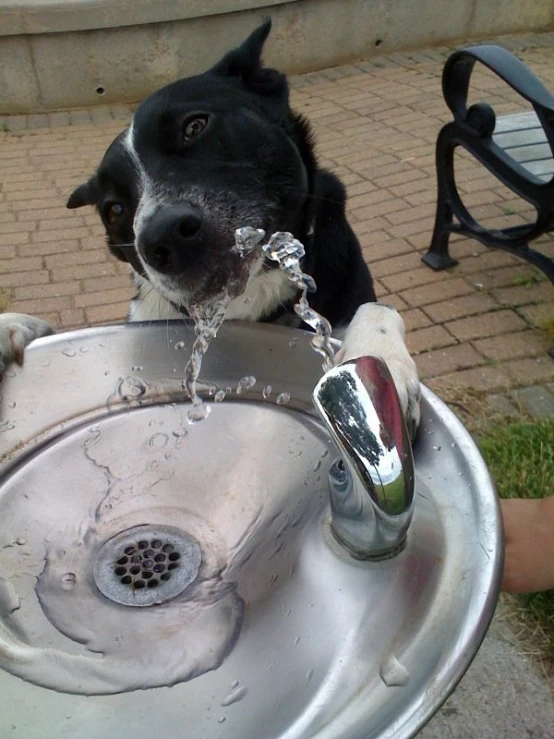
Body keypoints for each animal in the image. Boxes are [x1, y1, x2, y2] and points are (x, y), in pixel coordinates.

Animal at [0, 18, 418, 428]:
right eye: (114, 210)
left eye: (195, 126)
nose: (164, 237)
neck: (250, 297)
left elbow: (378, 308)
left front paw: (377, 365)